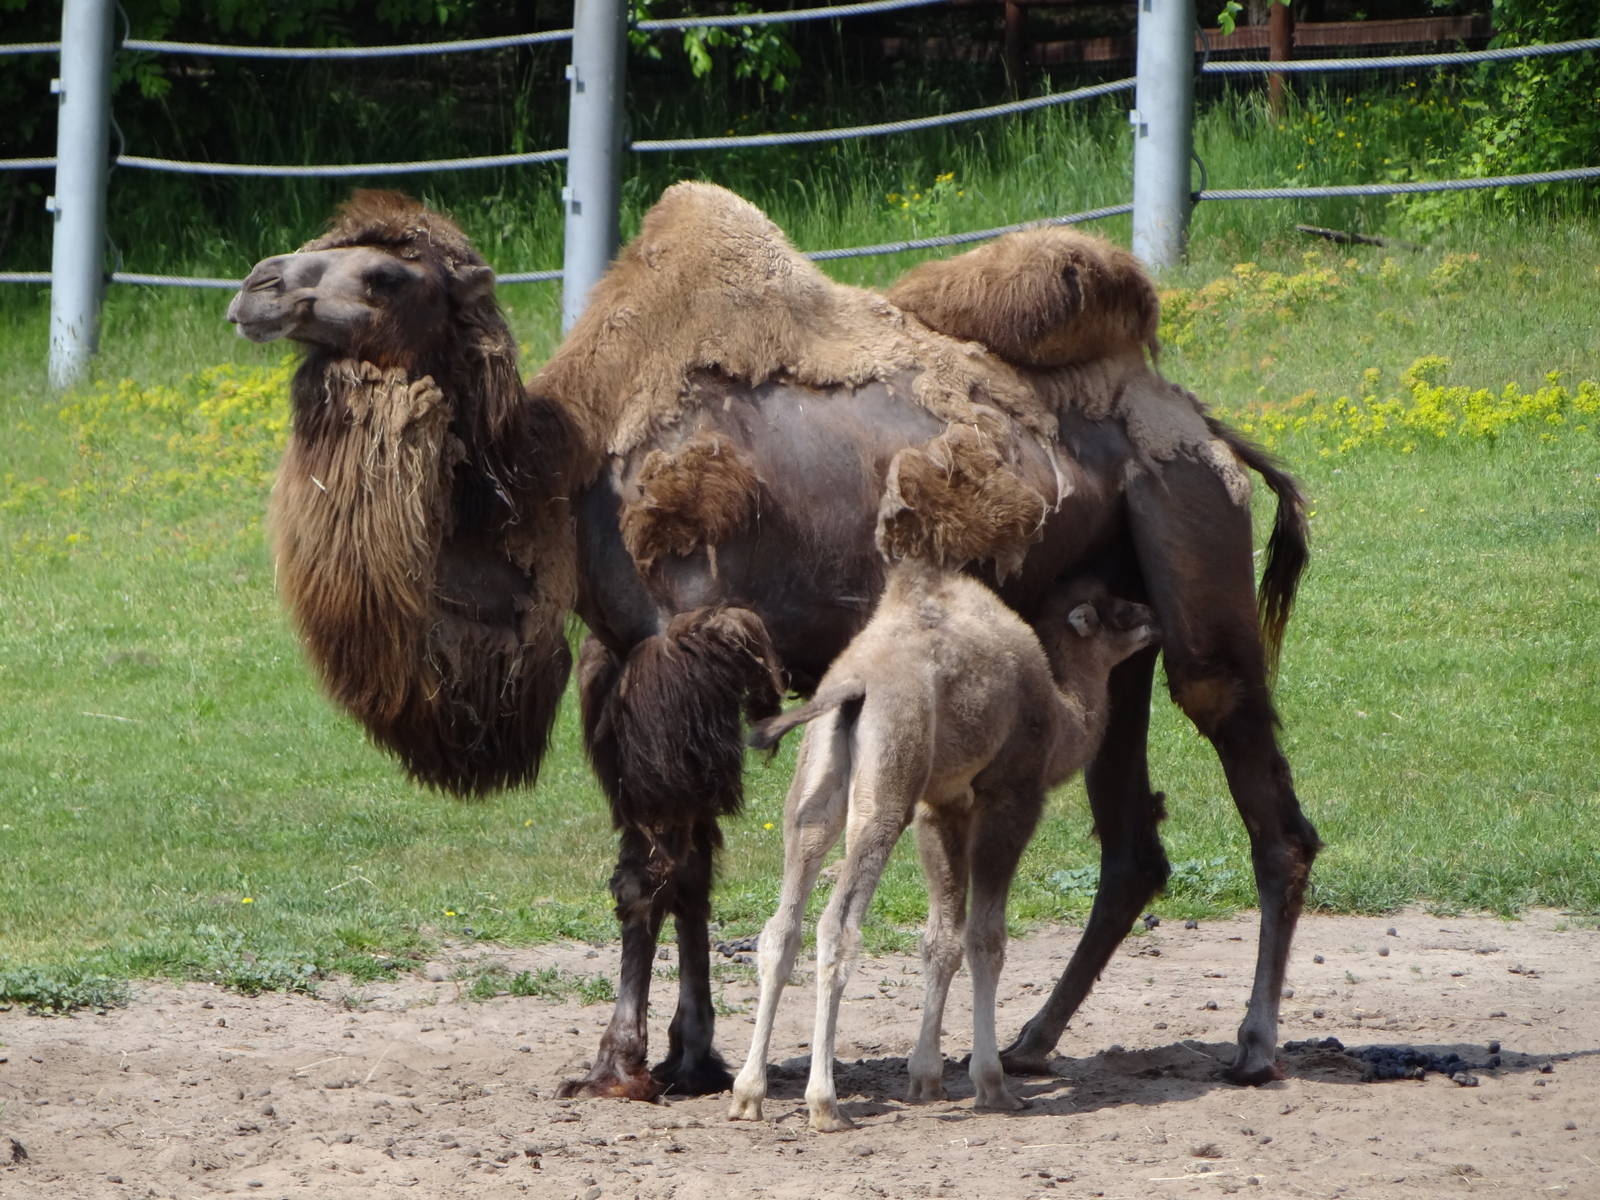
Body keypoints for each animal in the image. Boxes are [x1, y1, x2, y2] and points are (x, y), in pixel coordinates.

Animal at [727, 561, 1159, 1131]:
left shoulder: (942, 806)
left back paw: (748, 1093)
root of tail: (852, 686)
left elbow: (941, 940)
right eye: (1113, 609)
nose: (1151, 616)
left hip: (813, 788)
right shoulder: (1012, 795)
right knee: (837, 926)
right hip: (889, 785)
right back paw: (825, 1103)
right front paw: (992, 1083)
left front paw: (926, 1078)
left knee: (782, 924)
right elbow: (985, 938)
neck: (1061, 709)